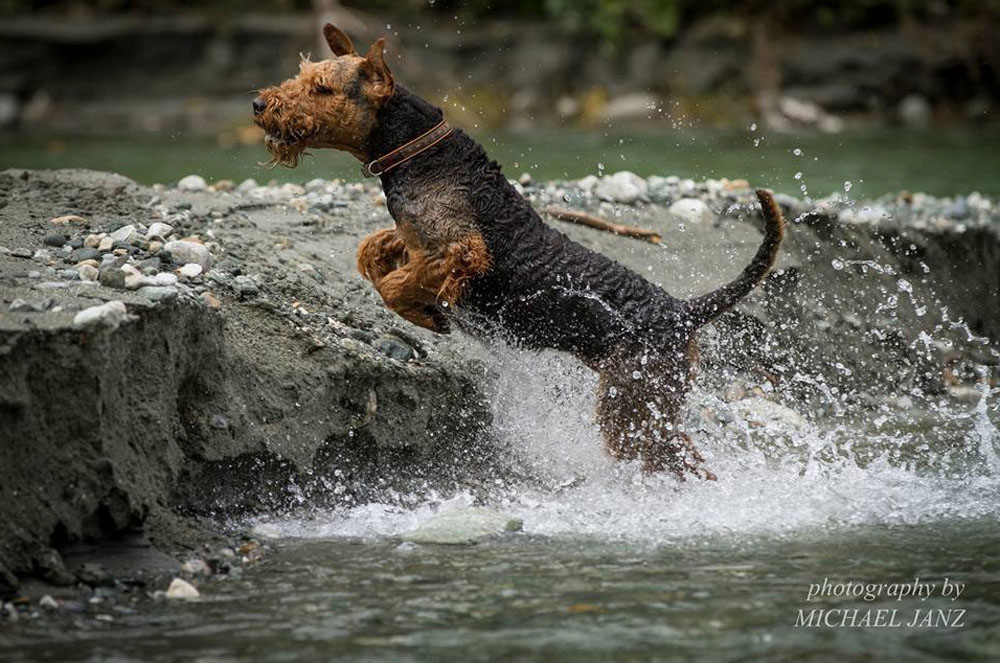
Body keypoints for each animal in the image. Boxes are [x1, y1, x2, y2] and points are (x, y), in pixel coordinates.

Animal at [254, 26, 784, 480]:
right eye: (302, 76)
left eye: (322, 87)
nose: (260, 103)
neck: (420, 152)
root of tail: (684, 310)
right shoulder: (420, 239)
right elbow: (375, 251)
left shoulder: (460, 250)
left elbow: (396, 285)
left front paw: (428, 316)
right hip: (645, 404)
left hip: (631, 404)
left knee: (674, 459)